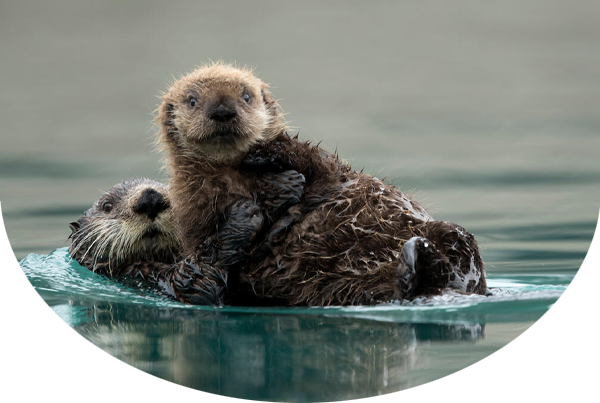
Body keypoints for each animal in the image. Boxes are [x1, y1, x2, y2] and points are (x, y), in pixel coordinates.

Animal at [156, 62, 488, 306]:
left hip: (452, 239)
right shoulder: (194, 209)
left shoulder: (330, 172)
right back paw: (411, 265)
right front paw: (253, 213)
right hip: (354, 288)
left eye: (247, 96)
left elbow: (320, 163)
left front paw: (268, 156)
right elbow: (206, 274)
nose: (223, 111)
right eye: (192, 101)